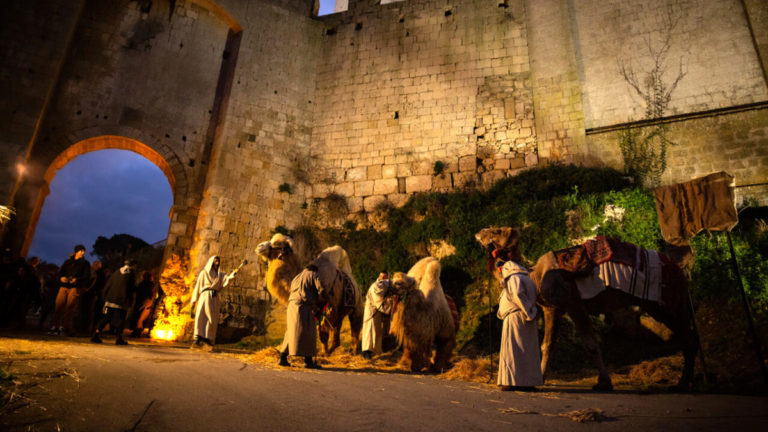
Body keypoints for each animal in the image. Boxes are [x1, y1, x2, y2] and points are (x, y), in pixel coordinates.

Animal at [474, 228, 696, 390]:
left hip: (666, 303)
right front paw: (540, 379)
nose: (479, 232)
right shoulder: (554, 308)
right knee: (688, 335)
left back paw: (682, 383)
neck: (536, 276)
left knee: (688, 337)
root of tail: (679, 270)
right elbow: (547, 345)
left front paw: (603, 383)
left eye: (496, 231)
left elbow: (591, 344)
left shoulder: (574, 304)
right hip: (668, 304)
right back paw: (684, 381)